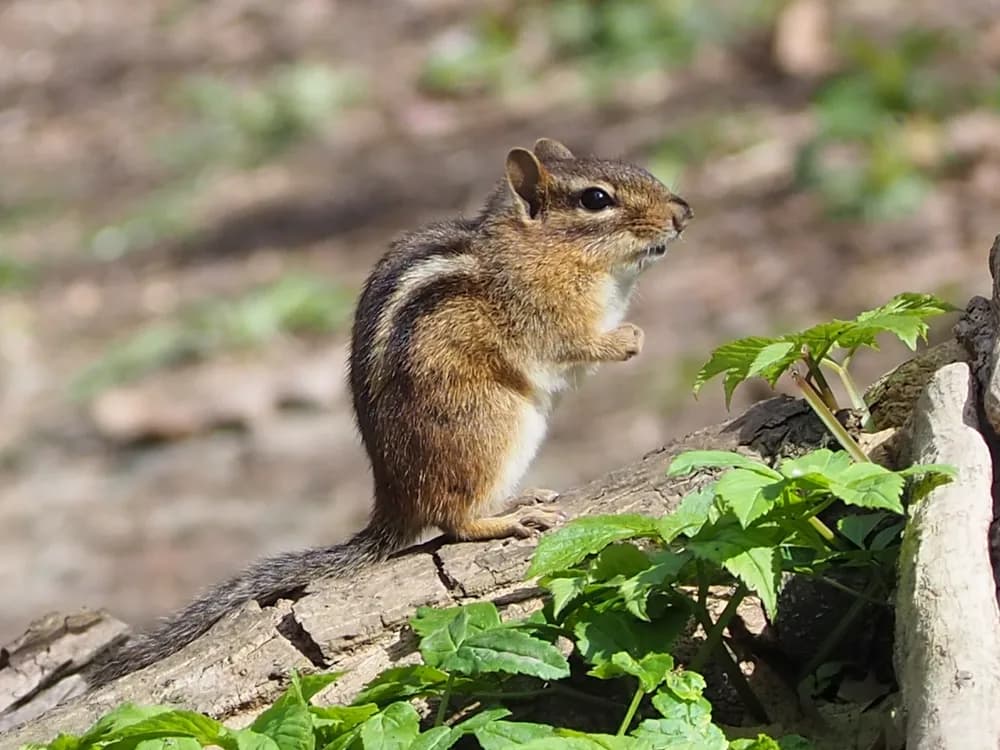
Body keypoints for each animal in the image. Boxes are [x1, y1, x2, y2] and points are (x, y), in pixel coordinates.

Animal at [82, 137, 693, 689]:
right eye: (596, 199)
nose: (683, 212)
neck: (540, 248)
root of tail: (393, 499)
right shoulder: (542, 312)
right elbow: (574, 344)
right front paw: (629, 339)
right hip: (493, 426)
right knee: (453, 519)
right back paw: (508, 519)